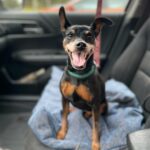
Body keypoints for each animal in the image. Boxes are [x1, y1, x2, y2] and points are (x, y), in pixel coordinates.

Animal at [56, 6, 112, 150]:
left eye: (89, 35)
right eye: (70, 35)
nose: (81, 44)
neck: (78, 73)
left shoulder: (95, 104)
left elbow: (96, 126)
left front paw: (96, 144)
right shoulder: (64, 97)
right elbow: (64, 118)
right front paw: (62, 133)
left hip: (104, 104)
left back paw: (86, 113)